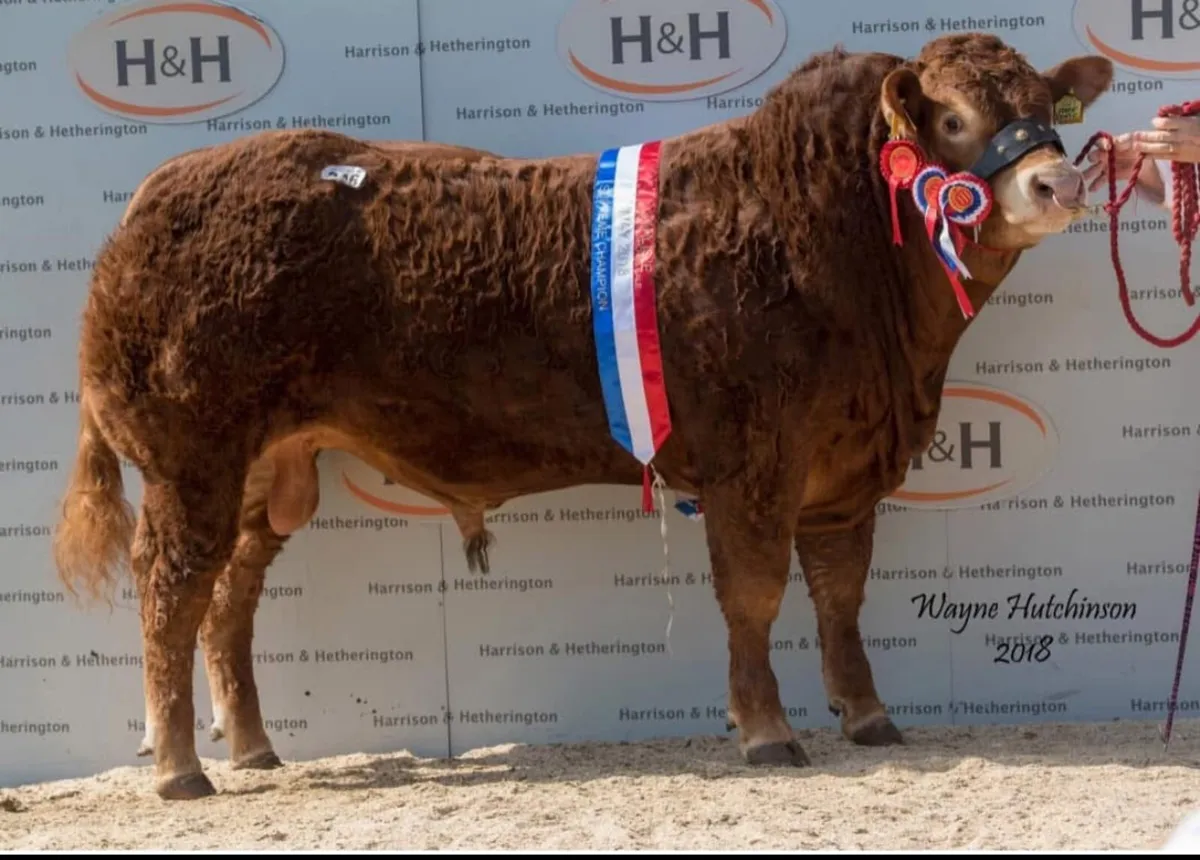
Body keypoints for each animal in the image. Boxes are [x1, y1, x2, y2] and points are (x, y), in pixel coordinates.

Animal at [52, 32, 1113, 801]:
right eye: (953, 116)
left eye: (1043, 110)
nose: (1059, 181)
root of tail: (159, 193)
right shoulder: (753, 464)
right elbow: (756, 597)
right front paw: (767, 731)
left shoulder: (846, 471)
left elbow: (839, 598)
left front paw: (866, 716)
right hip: (190, 457)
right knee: (172, 592)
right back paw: (180, 770)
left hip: (271, 472)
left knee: (230, 598)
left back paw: (254, 748)